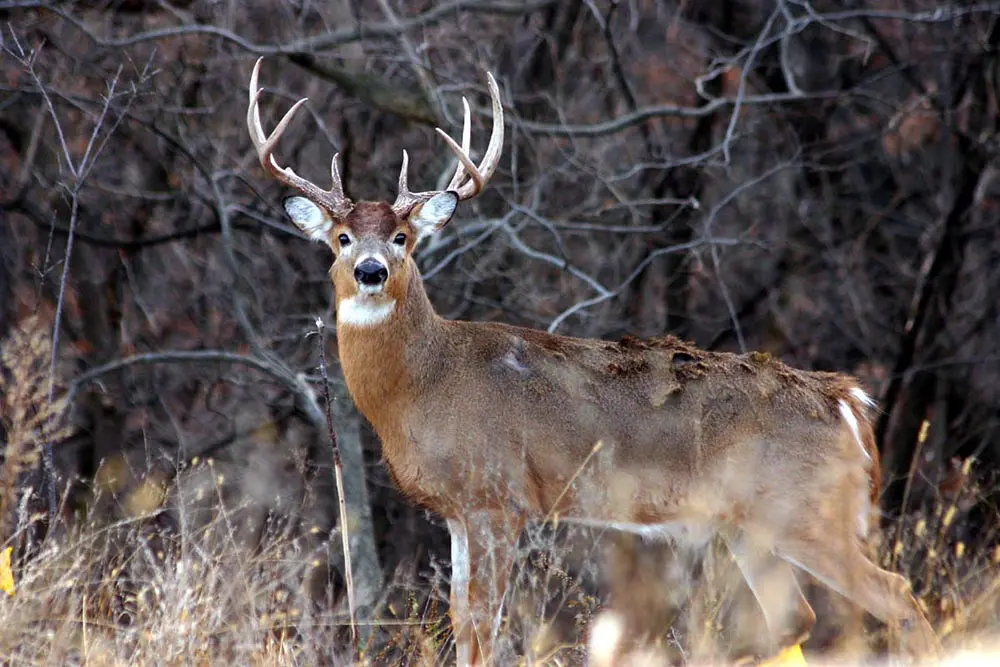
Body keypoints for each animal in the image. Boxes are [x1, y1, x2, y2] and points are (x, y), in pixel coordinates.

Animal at [246, 58, 942, 665]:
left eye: (402, 237)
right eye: (341, 238)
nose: (370, 270)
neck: (423, 384)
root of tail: (848, 401)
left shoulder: (500, 495)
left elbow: (484, 622)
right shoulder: (459, 510)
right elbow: (461, 618)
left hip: (806, 510)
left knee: (897, 596)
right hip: (751, 523)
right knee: (796, 619)